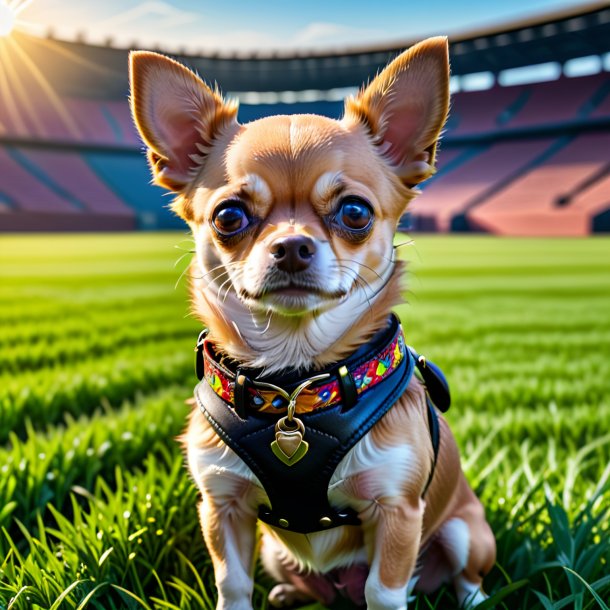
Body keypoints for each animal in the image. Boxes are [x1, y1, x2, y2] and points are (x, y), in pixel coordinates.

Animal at [128, 39, 494, 608]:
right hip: (274, 554)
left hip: (463, 531)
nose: (292, 245)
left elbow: (385, 590)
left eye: (355, 212)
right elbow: (232, 583)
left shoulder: (397, 511)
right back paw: (288, 594)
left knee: (462, 575)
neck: (294, 384)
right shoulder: (222, 505)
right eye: (229, 216)